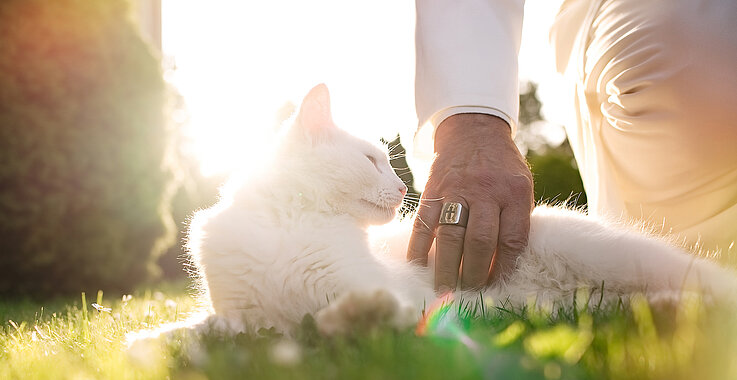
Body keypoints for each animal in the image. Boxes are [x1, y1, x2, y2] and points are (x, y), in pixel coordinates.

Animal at [168, 84, 736, 336]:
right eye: (372, 161)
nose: (402, 188)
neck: (292, 222)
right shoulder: (243, 318)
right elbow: (197, 332)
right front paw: (161, 344)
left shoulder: (400, 296)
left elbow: (343, 315)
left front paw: (350, 317)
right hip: (584, 301)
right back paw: (662, 310)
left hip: (615, 255)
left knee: (706, 281)